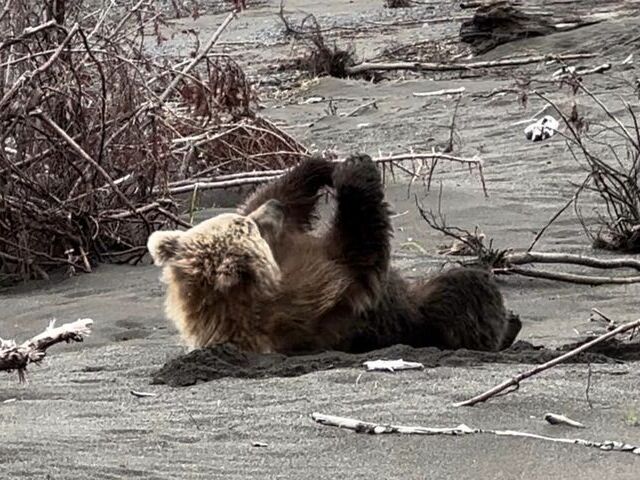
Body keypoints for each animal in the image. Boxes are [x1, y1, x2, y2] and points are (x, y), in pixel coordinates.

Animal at [148, 156, 524, 354]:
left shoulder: (290, 248)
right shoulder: (309, 298)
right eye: (250, 226)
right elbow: (359, 251)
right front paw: (355, 171)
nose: (275, 208)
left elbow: (275, 194)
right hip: (420, 317)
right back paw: (506, 324)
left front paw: (318, 166)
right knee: (459, 291)